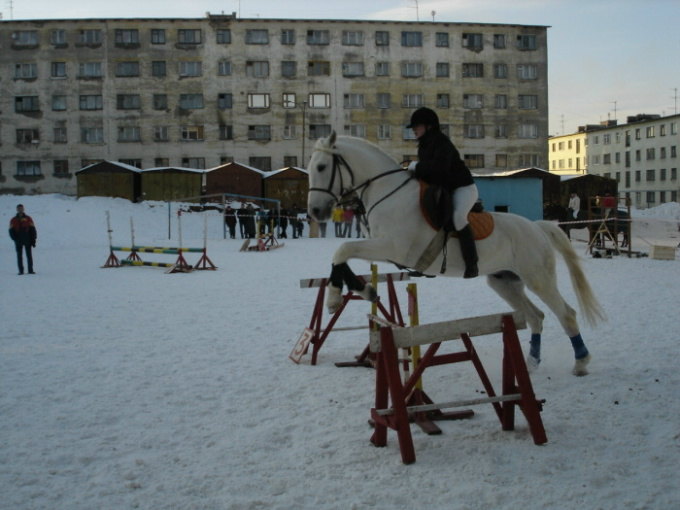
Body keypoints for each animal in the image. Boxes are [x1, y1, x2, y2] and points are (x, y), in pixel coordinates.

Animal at [306, 133, 604, 376]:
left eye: (321, 167)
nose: (315, 212)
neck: (388, 193)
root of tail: (537, 227)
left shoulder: (392, 247)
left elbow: (343, 249)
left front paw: (340, 296)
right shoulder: (384, 248)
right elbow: (341, 256)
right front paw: (357, 291)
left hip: (538, 279)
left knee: (566, 314)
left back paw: (581, 362)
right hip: (504, 281)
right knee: (535, 316)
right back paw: (532, 363)